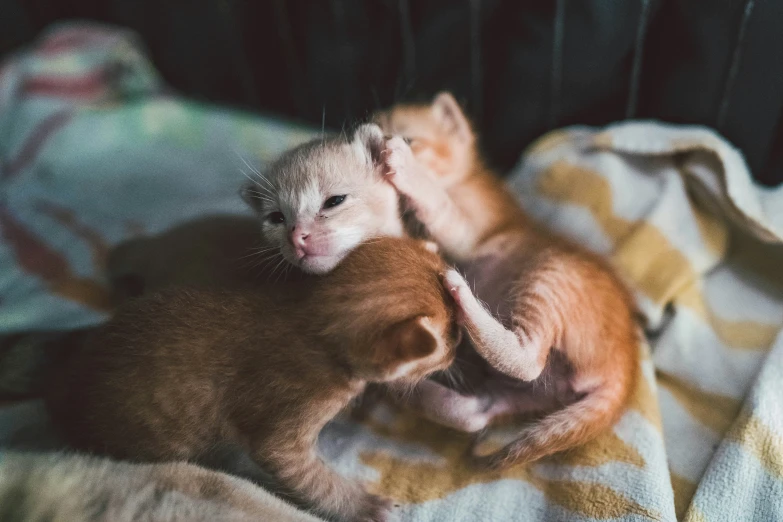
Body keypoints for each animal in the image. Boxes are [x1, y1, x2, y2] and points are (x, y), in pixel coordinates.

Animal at [47, 237, 460, 520]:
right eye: (453, 337)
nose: (459, 351)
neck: (310, 319)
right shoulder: (283, 429)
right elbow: (313, 479)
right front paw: (362, 504)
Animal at [376, 92, 640, 468]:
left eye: (409, 138)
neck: (464, 179)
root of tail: (626, 366)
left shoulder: (473, 231)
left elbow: (443, 209)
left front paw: (407, 167)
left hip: (552, 275)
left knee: (527, 361)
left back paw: (462, 296)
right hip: (530, 396)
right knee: (475, 414)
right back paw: (404, 391)